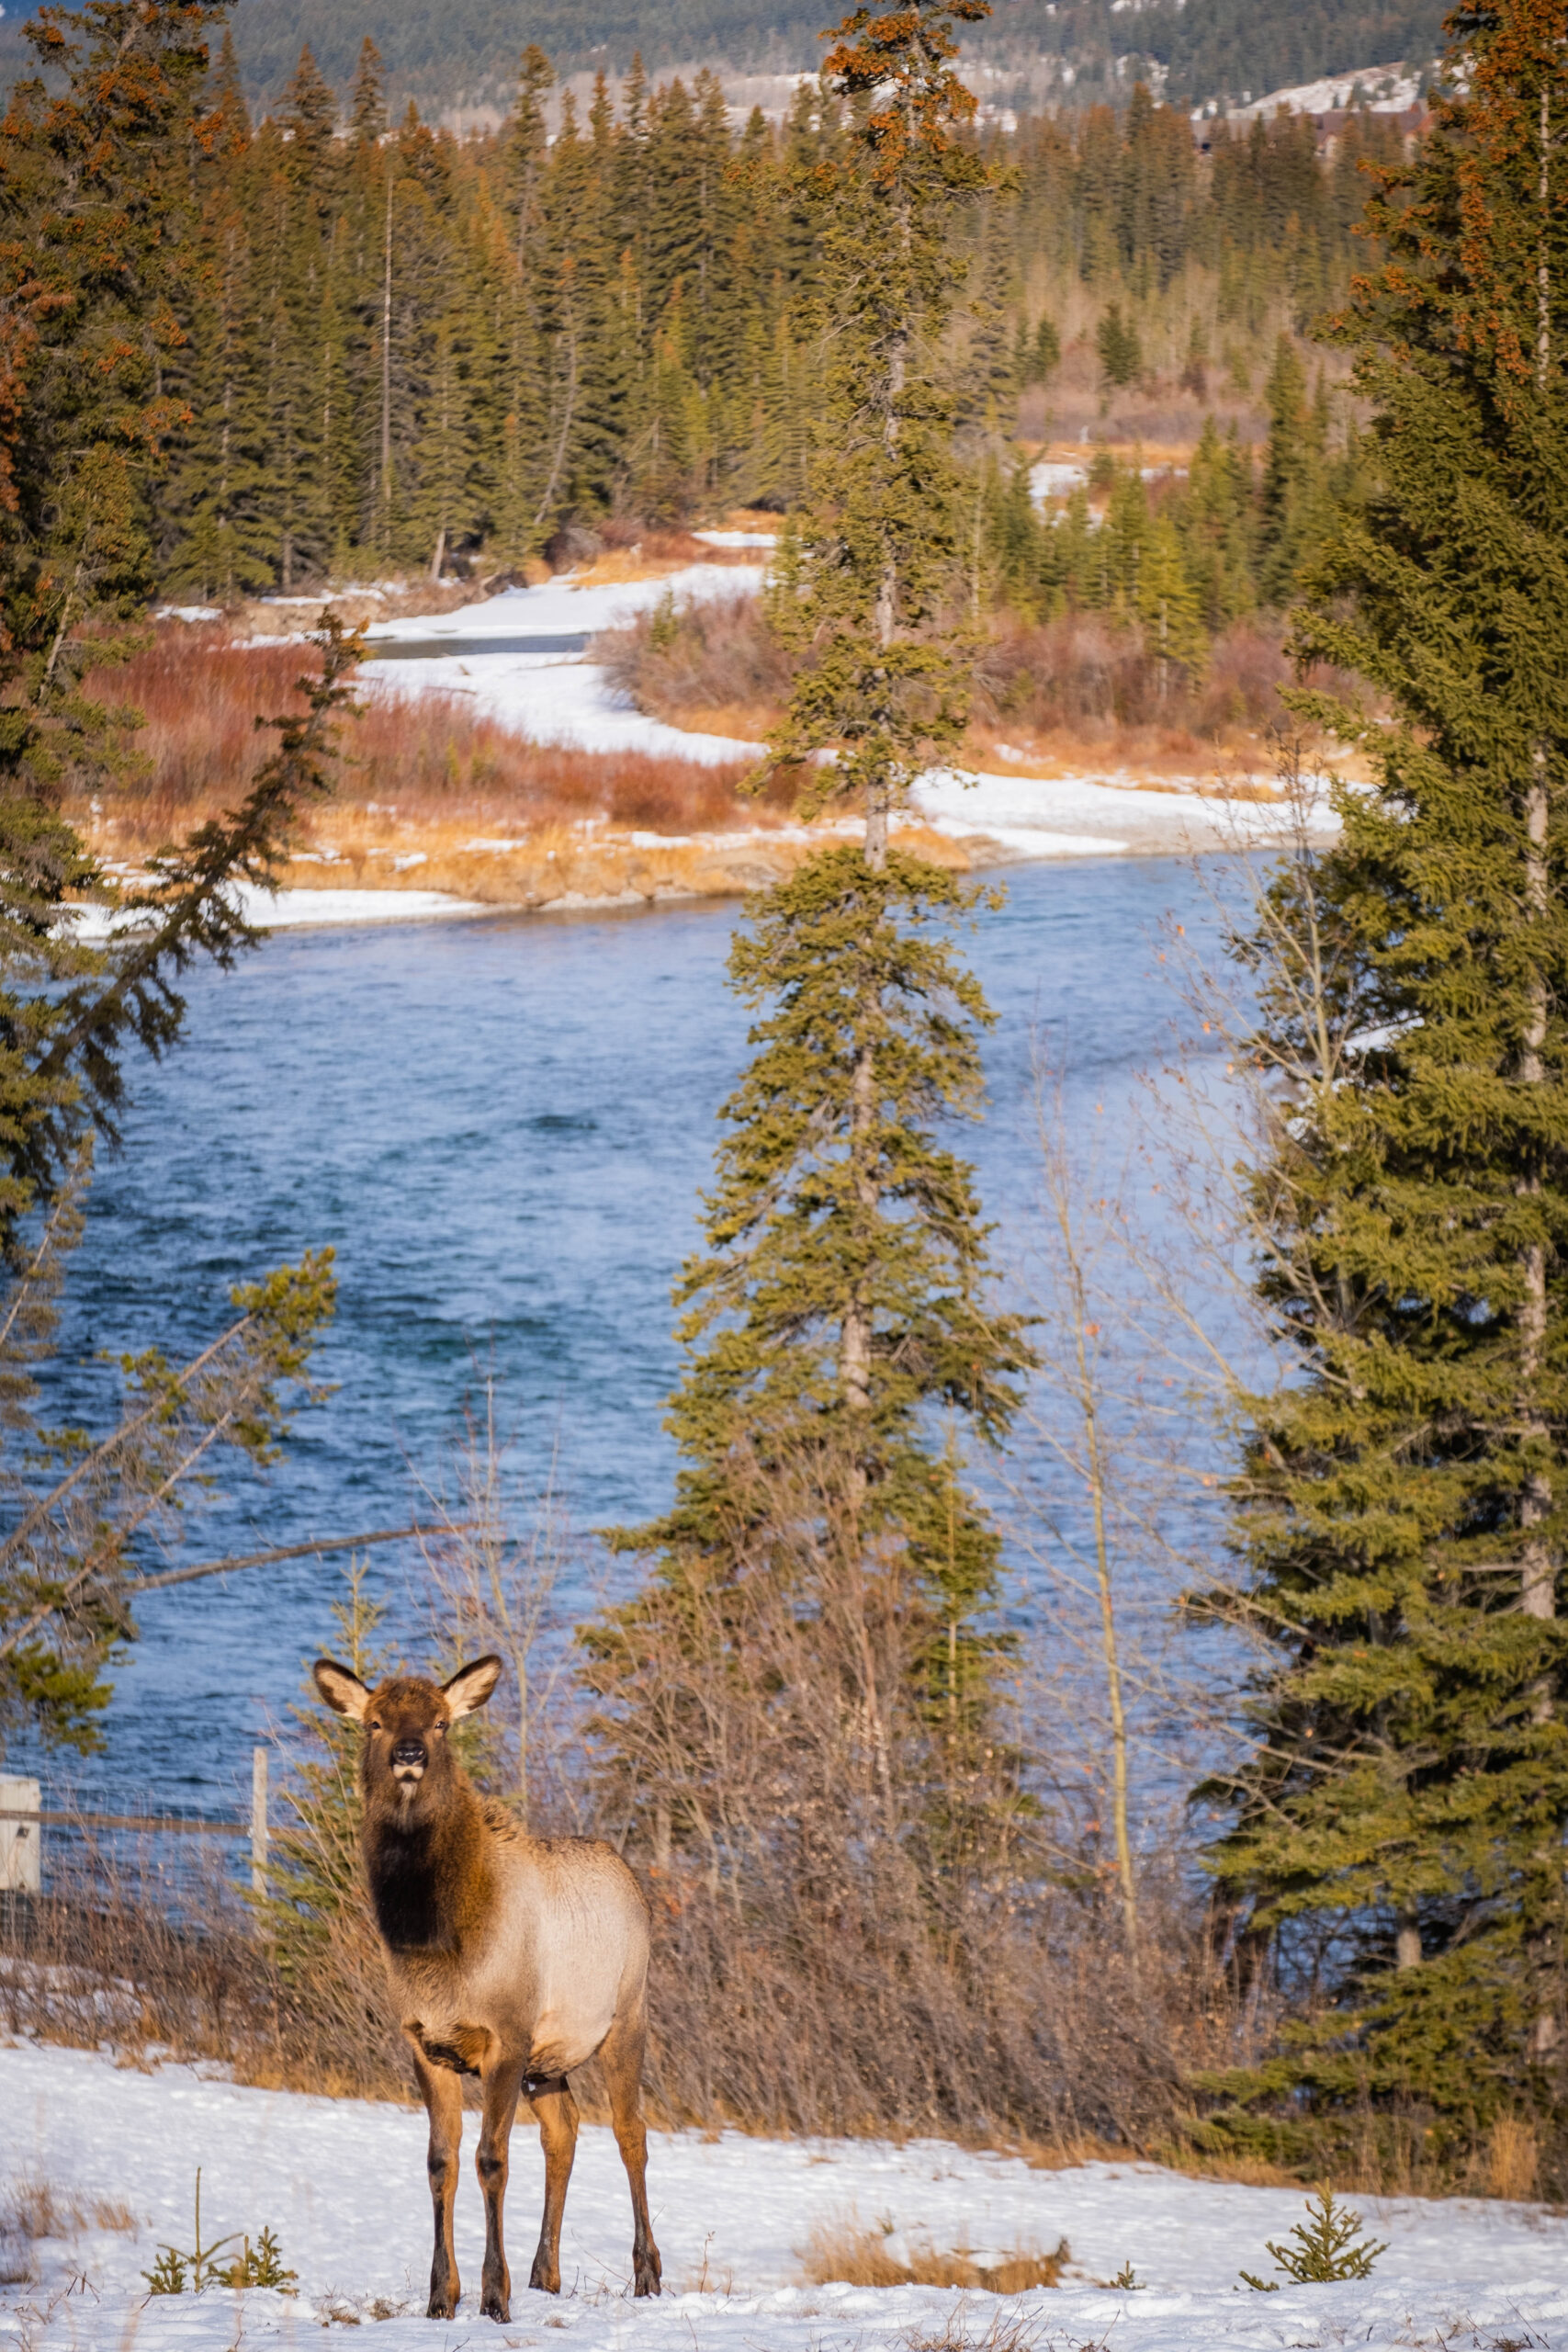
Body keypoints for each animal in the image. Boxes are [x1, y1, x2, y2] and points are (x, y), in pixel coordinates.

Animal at [314, 1656, 667, 2314]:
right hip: (549, 2057)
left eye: (441, 1723)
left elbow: (491, 2160)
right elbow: (440, 2162)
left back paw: (647, 2272)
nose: (408, 1754)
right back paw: (545, 2273)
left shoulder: (506, 2034)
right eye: (374, 1722)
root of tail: (631, 1879)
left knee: (631, 2132)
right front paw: (440, 2297)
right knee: (564, 2131)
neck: (433, 1946)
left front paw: (493, 2298)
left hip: (625, 2019)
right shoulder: (426, 2042)